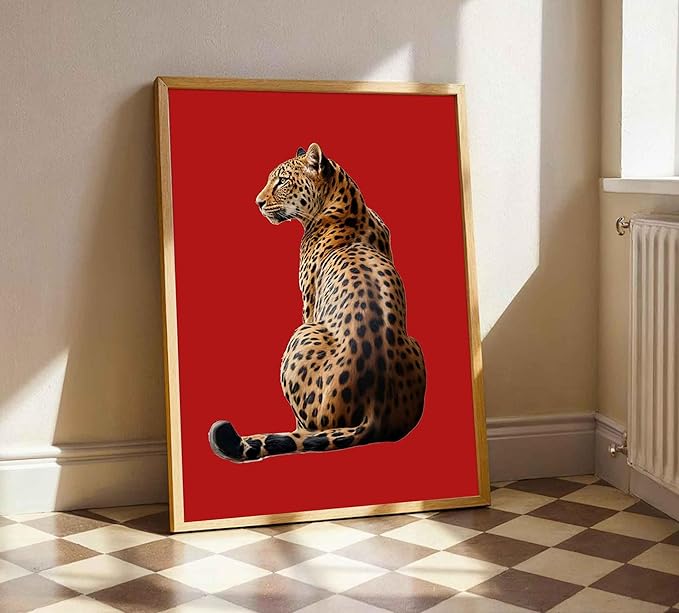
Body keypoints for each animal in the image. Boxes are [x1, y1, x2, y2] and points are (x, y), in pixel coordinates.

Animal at [209, 143, 426, 462]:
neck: (348, 204)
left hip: (301, 334)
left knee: (309, 428)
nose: (258, 202)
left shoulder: (308, 304)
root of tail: (375, 410)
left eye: (282, 181)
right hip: (415, 344)